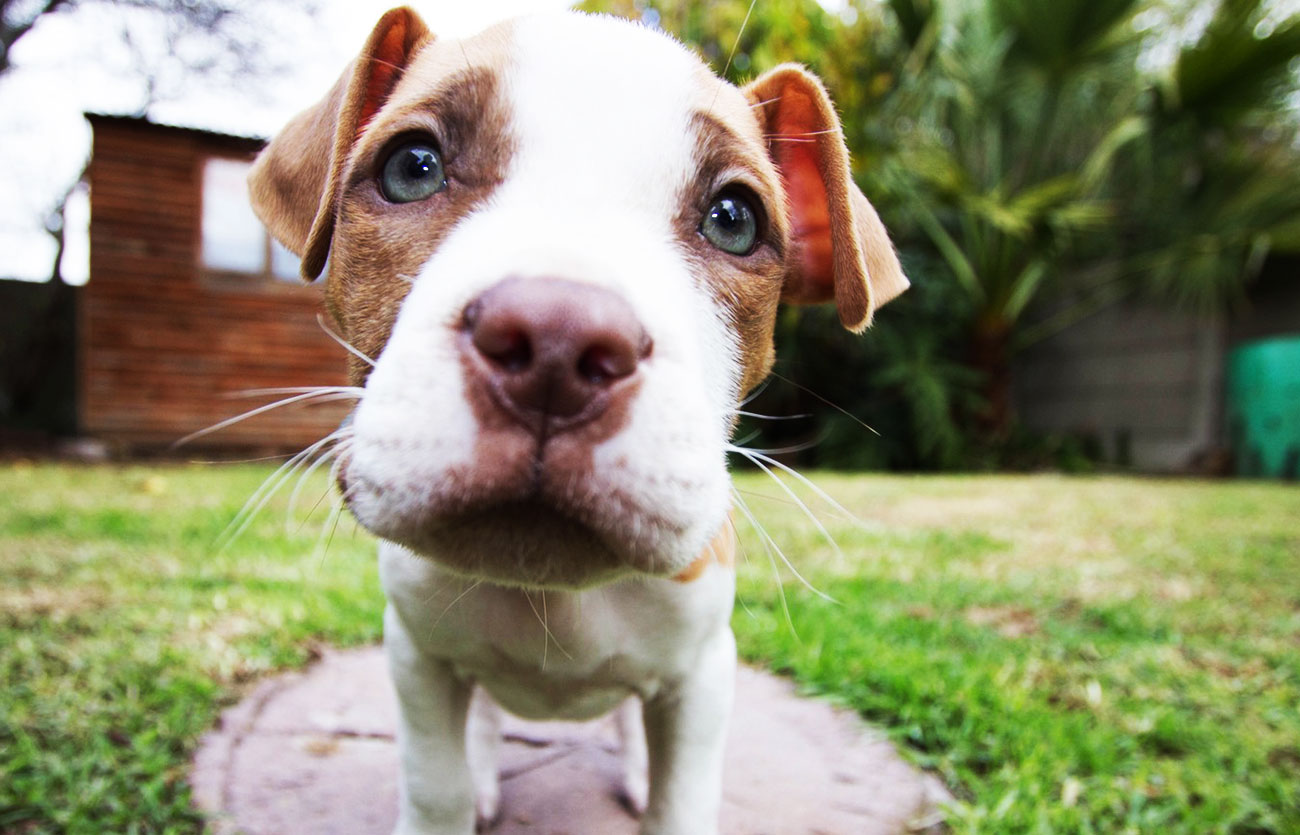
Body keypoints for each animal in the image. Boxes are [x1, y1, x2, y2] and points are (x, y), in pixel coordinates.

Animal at [248, 8, 909, 832]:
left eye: (733, 219)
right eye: (412, 167)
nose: (557, 342)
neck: (553, 594)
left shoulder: (702, 675)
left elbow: (681, 798)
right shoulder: (416, 656)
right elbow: (436, 783)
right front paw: (456, 790)